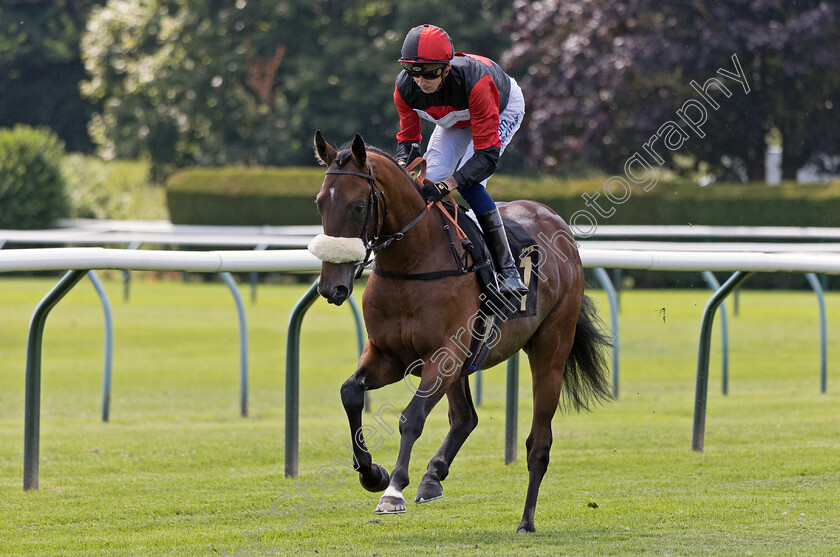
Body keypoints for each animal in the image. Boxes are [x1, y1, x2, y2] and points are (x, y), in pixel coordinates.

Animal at [308, 131, 612, 536]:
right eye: (320, 203)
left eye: (358, 206)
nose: (332, 287)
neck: (412, 263)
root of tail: (556, 223)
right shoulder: (389, 356)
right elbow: (350, 393)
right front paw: (372, 473)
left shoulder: (444, 355)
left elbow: (411, 417)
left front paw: (393, 490)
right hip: (466, 361)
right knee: (466, 417)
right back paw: (433, 477)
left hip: (550, 349)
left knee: (539, 442)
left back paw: (526, 520)